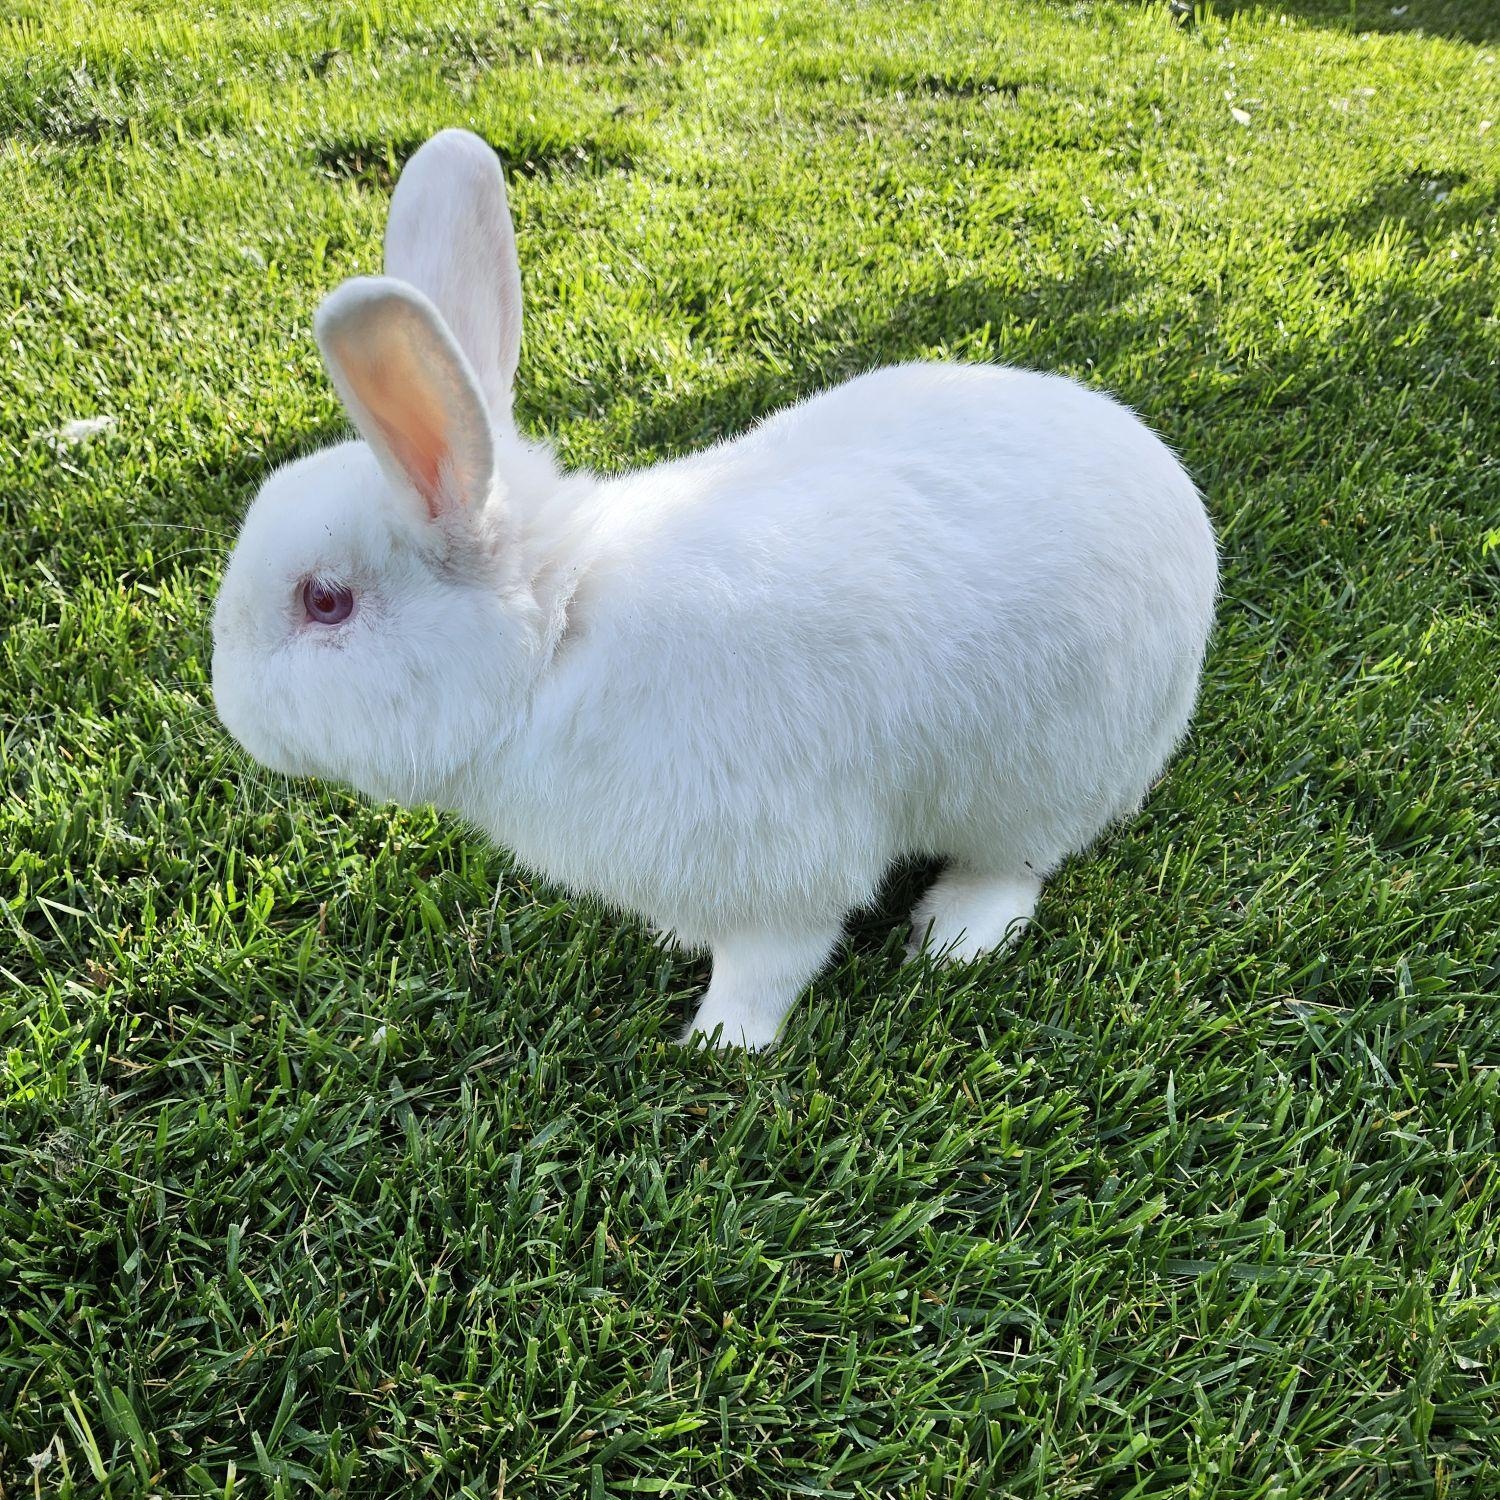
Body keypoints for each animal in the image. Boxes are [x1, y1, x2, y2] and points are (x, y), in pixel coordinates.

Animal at [212, 128, 1218, 1051]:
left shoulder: (786, 872)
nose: (228, 706)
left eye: (326, 601)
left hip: (1045, 771)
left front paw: (719, 1045)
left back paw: (954, 935)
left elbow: (769, 966)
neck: (559, 639)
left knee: (1019, 863)